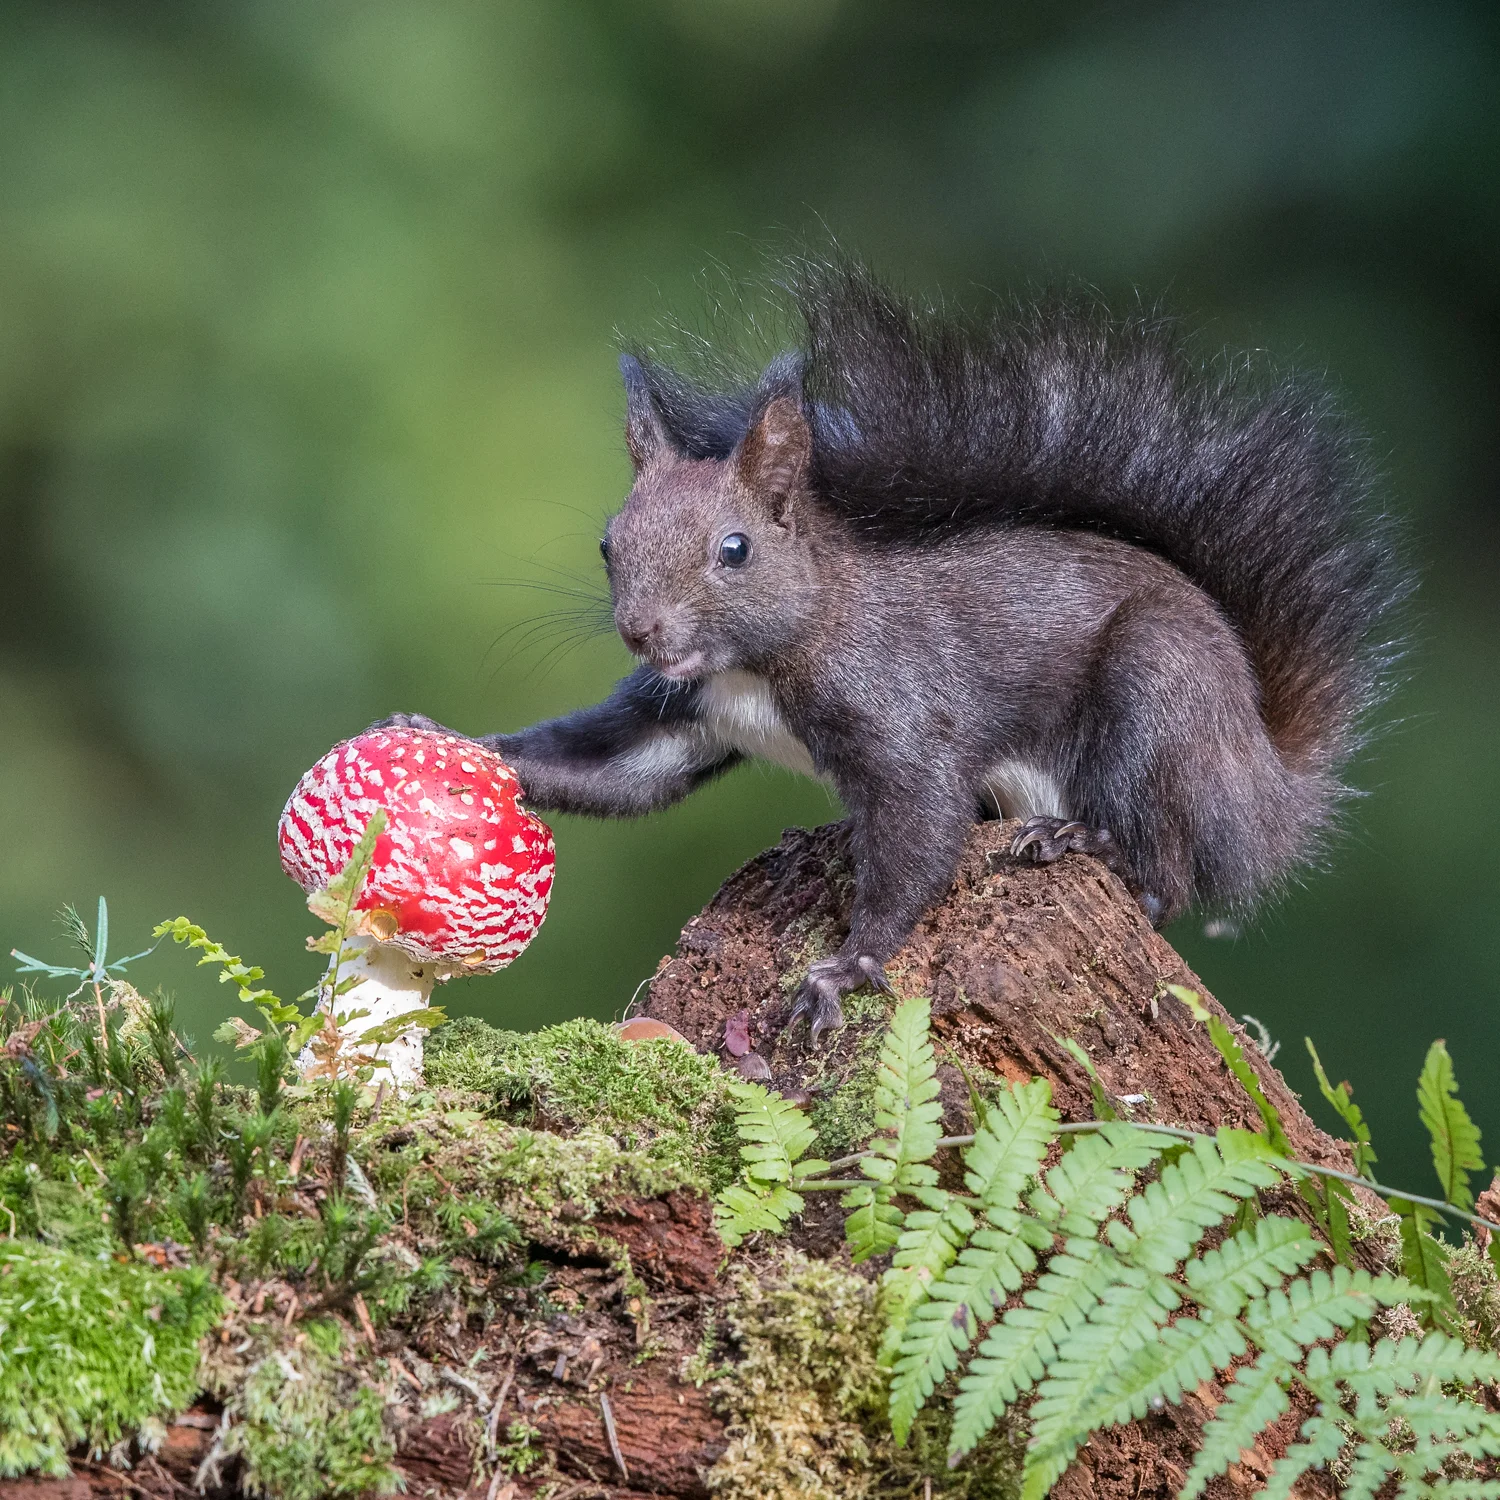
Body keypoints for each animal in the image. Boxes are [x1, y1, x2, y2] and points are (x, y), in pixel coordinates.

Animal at [385, 257, 1411, 1044]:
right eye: (608, 542)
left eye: (734, 550)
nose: (644, 630)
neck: (762, 660)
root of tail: (1264, 783)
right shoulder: (682, 712)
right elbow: (611, 771)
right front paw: (445, 740)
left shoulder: (901, 719)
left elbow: (920, 831)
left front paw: (845, 968)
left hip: (1159, 694)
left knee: (1167, 878)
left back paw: (1081, 840)